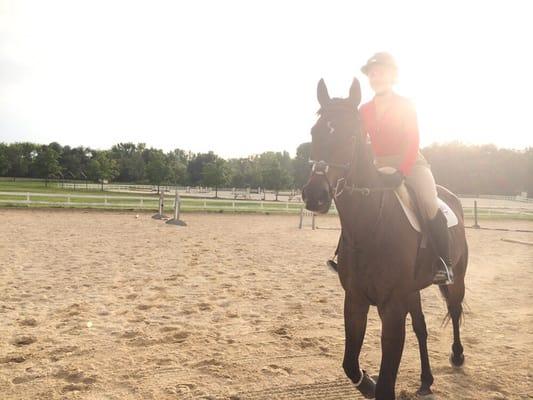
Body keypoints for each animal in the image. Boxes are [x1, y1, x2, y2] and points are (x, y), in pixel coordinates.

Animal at [302, 78, 468, 400]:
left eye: (352, 135)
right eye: (315, 132)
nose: (315, 195)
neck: (370, 226)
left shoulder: (391, 307)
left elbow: (387, 383)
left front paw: (377, 382)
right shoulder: (355, 300)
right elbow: (350, 363)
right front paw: (368, 382)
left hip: (456, 279)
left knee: (454, 311)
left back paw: (457, 355)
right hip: (412, 291)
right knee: (421, 328)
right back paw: (426, 380)